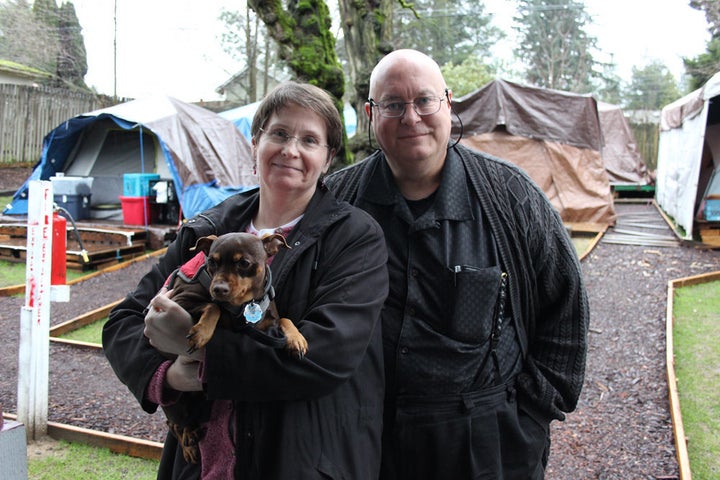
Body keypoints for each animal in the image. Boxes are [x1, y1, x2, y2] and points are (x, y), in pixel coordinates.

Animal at [153, 231, 308, 464]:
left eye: (244, 263)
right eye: (211, 262)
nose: (218, 289)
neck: (241, 305)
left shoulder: (266, 324)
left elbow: (285, 319)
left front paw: (296, 338)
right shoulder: (180, 301)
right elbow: (214, 306)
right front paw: (202, 332)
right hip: (178, 404)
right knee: (174, 424)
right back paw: (189, 445)